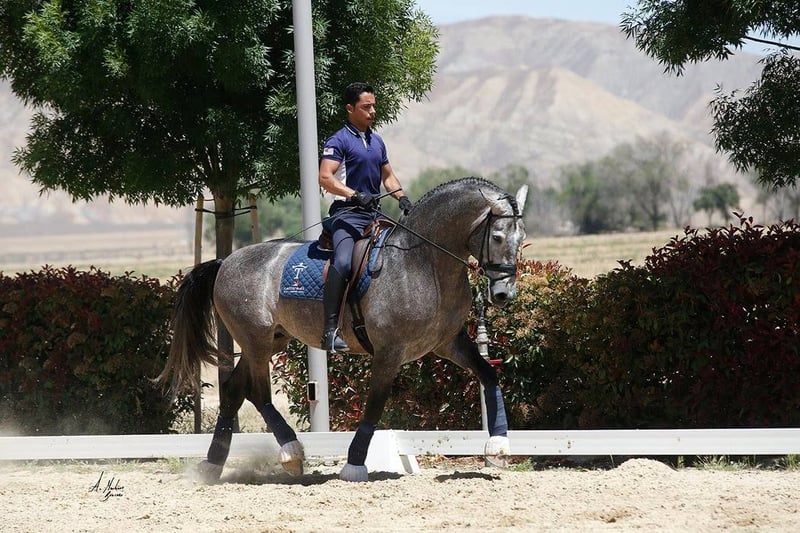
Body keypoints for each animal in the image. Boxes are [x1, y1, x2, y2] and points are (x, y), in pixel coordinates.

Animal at [159, 177, 528, 482]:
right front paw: (354, 464)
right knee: (258, 393)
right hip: (256, 339)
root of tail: (226, 261)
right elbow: (375, 405)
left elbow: (489, 375)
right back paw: (290, 453)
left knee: (236, 391)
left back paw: (212, 464)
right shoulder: (389, 352)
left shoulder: (449, 343)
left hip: (270, 341)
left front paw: (498, 446)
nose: (504, 295)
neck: (424, 263)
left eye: (522, 237)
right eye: (497, 236)